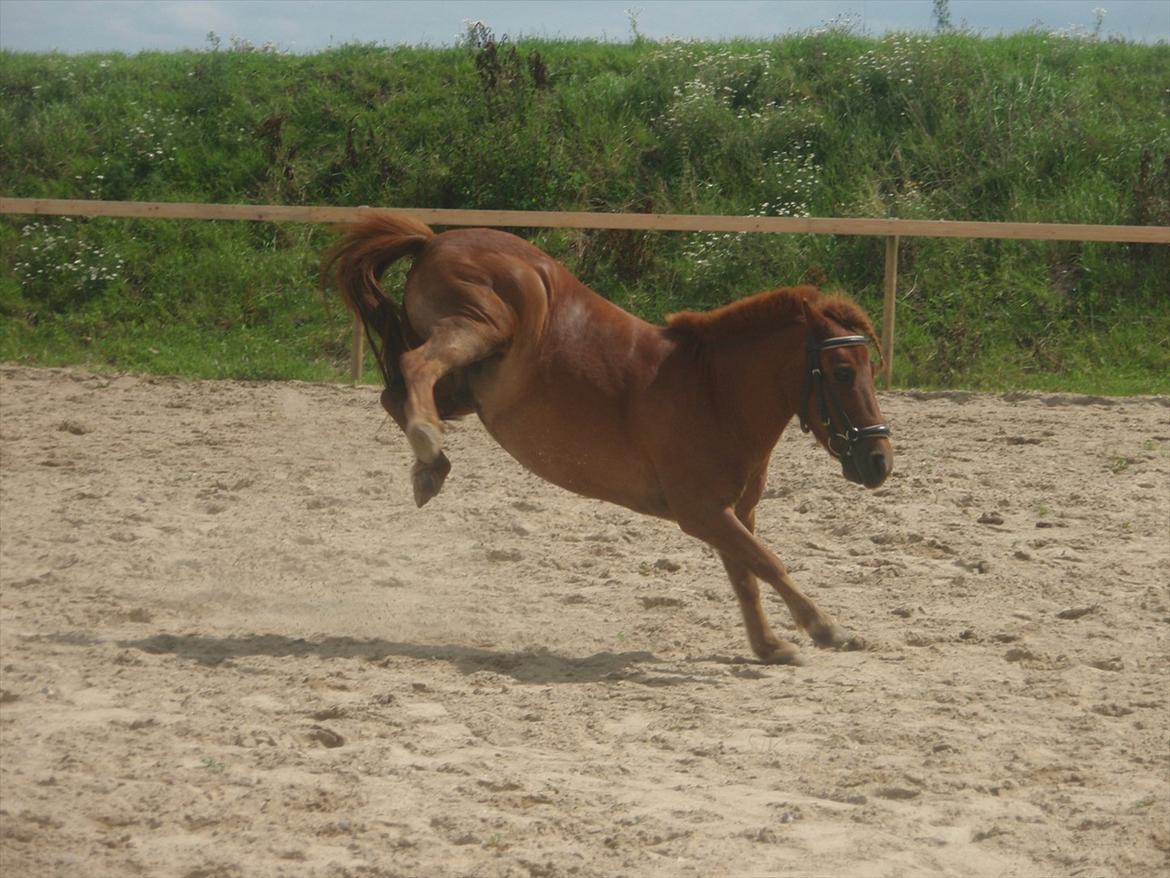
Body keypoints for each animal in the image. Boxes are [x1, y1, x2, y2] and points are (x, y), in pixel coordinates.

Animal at [325, 215, 889, 664]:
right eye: (842, 372)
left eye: (870, 370)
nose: (879, 461)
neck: (713, 393)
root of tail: (434, 240)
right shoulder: (703, 513)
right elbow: (768, 563)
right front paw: (828, 629)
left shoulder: (732, 514)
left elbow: (747, 576)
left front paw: (770, 647)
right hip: (482, 327)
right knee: (414, 367)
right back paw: (428, 443)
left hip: (472, 386)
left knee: (395, 394)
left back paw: (431, 467)